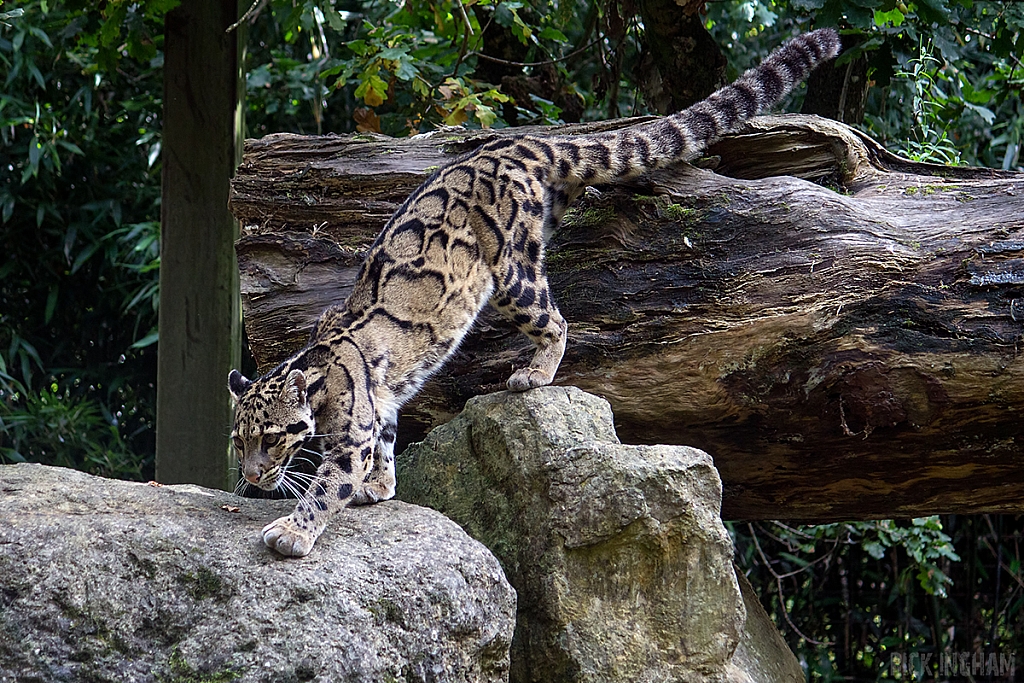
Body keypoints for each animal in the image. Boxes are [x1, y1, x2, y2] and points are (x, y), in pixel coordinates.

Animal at [226, 29, 839, 557]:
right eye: (238, 438)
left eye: (273, 437)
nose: (252, 475)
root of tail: (522, 143)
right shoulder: (383, 404)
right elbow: (388, 435)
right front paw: (381, 484)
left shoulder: (349, 434)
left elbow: (328, 483)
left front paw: (295, 530)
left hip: (512, 274)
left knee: (557, 320)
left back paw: (535, 374)